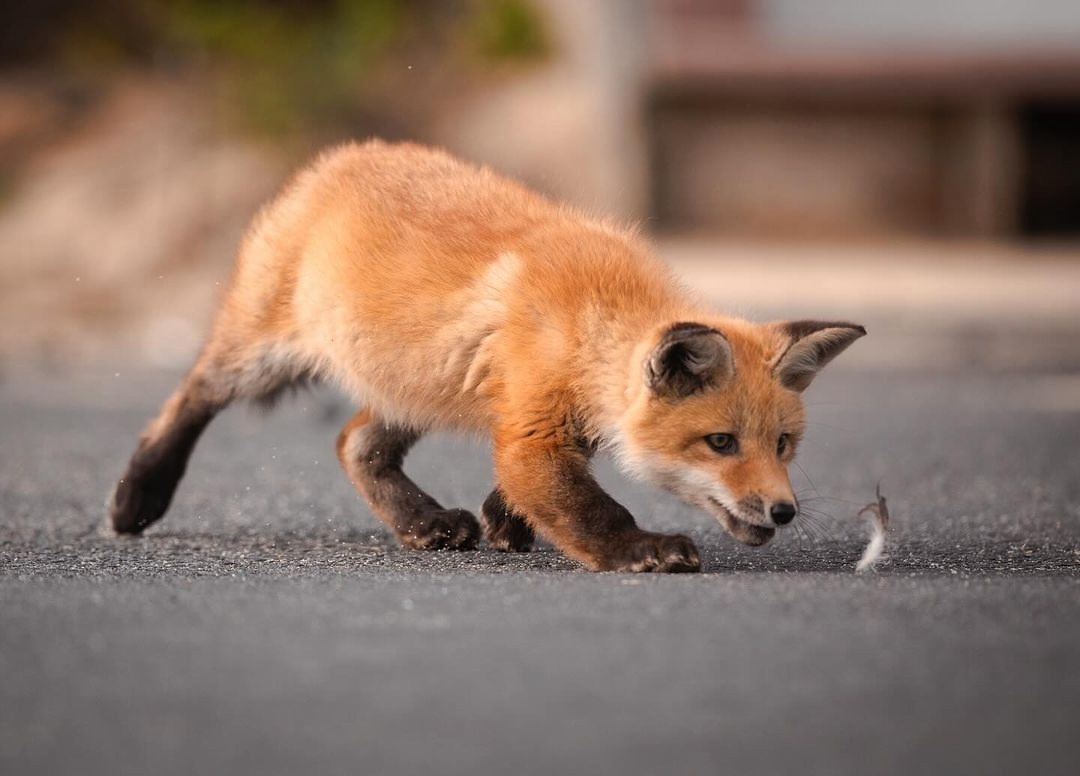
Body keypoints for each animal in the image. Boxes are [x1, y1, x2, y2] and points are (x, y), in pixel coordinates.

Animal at [109, 142, 864, 574]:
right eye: (720, 442)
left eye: (784, 445)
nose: (784, 512)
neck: (592, 322)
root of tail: (342, 154)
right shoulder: (533, 428)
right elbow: (592, 508)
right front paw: (641, 550)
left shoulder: (544, 419)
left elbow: (535, 487)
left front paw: (506, 520)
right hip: (267, 352)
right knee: (191, 396)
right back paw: (138, 495)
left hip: (417, 381)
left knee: (355, 443)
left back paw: (423, 523)